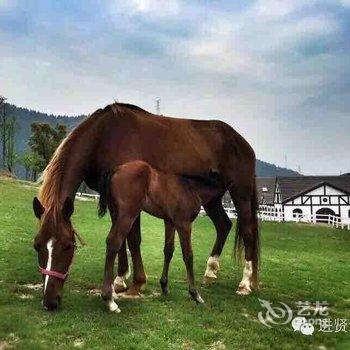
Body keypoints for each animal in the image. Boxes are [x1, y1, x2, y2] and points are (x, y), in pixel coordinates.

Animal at [32, 102, 260, 310]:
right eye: (37, 245)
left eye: (68, 246)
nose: (50, 301)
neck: (105, 136)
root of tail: (245, 144)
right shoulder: (117, 204)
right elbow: (122, 240)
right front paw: (120, 279)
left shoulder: (132, 206)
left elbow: (133, 240)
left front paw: (135, 282)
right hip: (212, 199)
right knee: (223, 225)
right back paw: (210, 271)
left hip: (240, 194)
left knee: (248, 232)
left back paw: (245, 283)